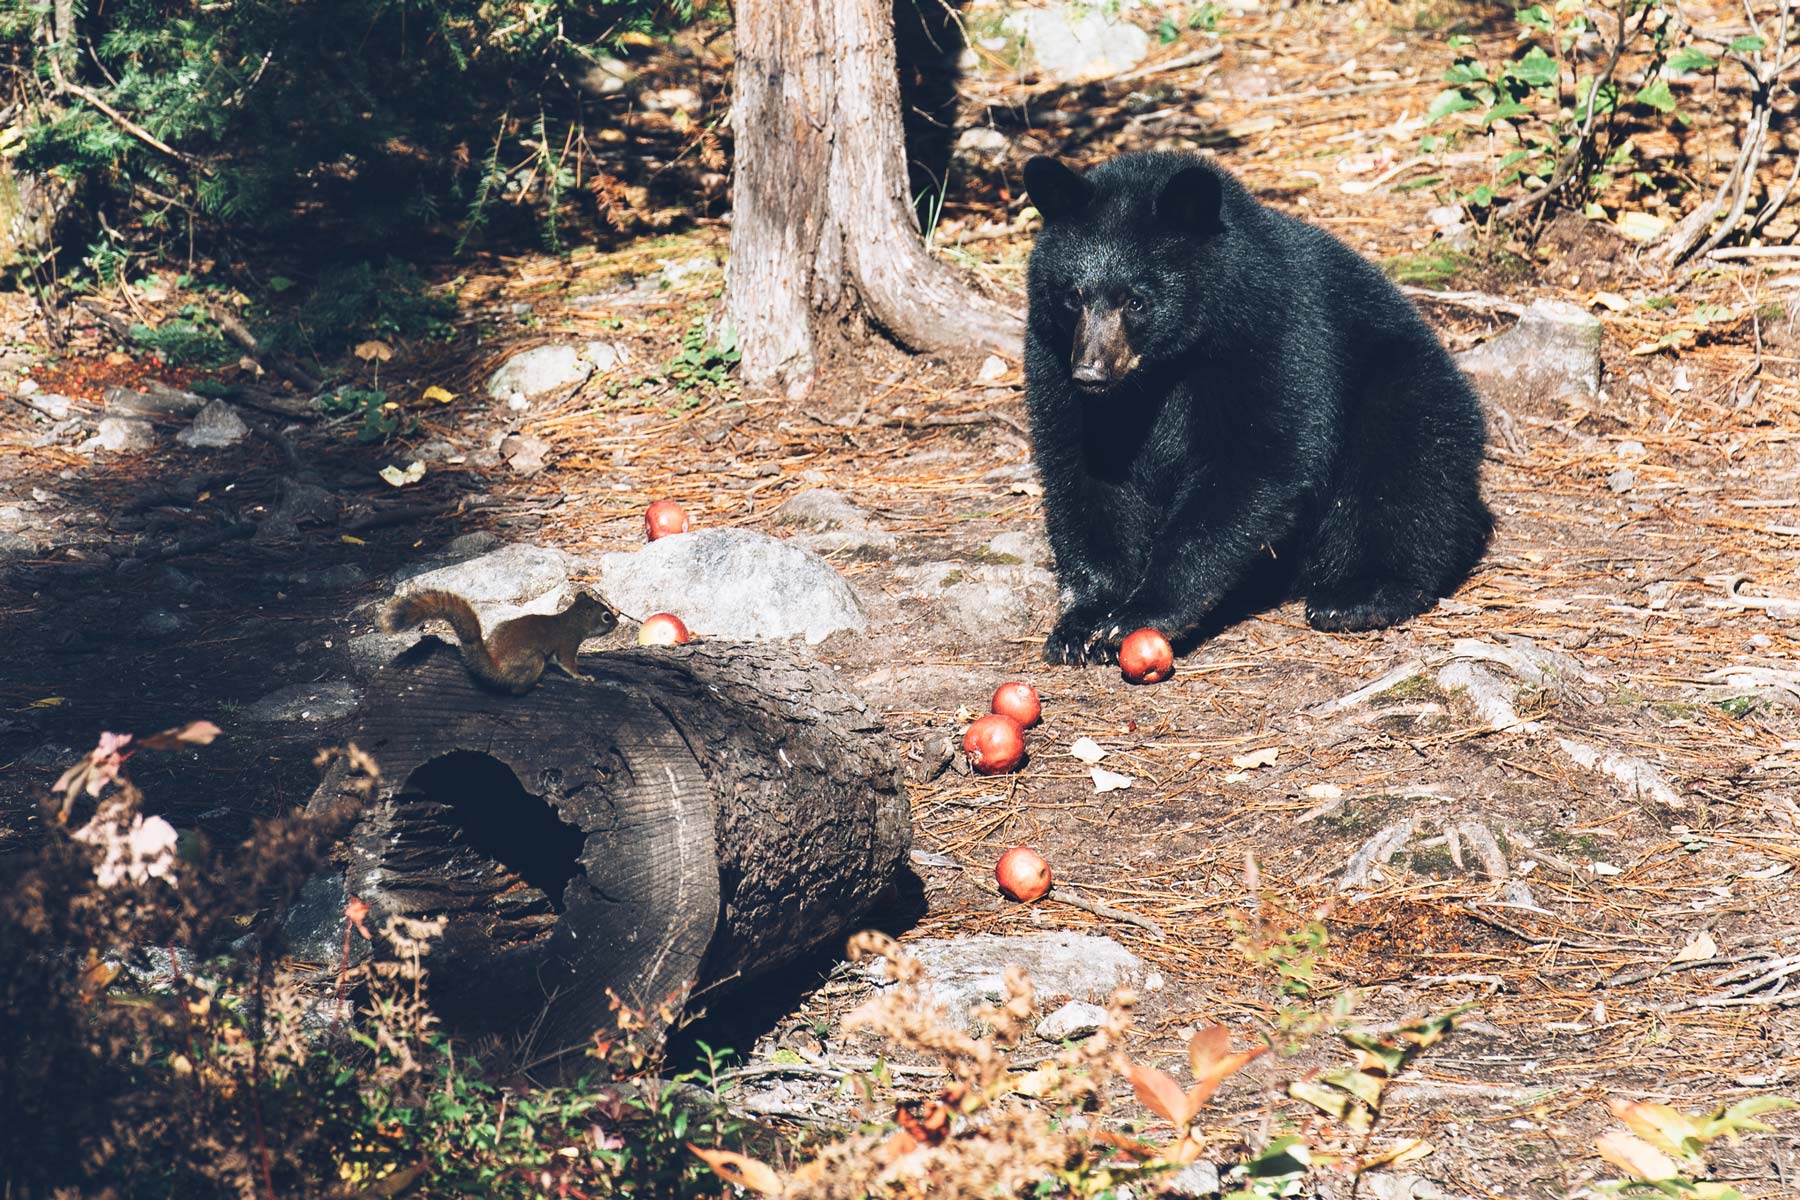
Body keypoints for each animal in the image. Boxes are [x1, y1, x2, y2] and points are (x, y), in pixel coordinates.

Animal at [1029, 150, 1490, 665]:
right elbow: (1084, 475)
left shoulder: (1273, 333)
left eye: (1136, 301)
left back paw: (1360, 595)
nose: (1090, 373)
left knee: (1408, 466)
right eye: (1072, 296)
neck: (1164, 369)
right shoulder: (1056, 362)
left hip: (1405, 382)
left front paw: (1141, 611)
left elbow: (1257, 459)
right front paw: (1082, 622)